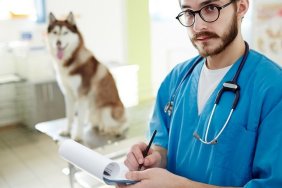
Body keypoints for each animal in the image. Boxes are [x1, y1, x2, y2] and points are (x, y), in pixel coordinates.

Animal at [46, 12, 128, 141]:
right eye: (55, 32)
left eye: (65, 33)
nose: (58, 43)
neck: (70, 61)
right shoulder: (68, 95)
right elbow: (69, 116)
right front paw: (67, 131)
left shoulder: (82, 95)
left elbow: (79, 119)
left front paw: (78, 136)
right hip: (92, 113)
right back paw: (101, 128)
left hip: (105, 110)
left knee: (125, 123)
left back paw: (117, 130)